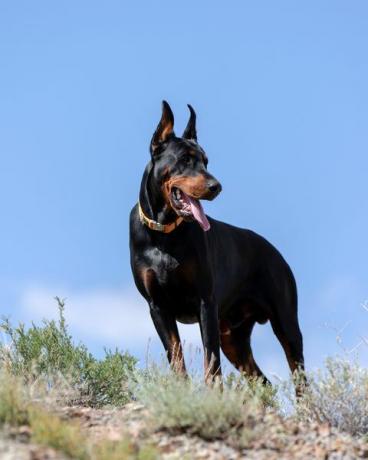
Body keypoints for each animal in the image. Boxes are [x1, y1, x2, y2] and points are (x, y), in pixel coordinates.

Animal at [129, 102, 304, 386]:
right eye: (185, 160)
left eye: (206, 161)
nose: (216, 186)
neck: (165, 234)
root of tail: (276, 253)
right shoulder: (158, 308)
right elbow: (176, 359)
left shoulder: (206, 303)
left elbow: (211, 363)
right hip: (233, 338)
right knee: (263, 383)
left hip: (285, 322)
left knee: (300, 378)